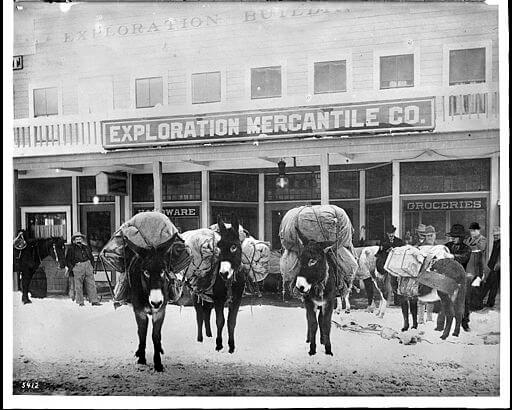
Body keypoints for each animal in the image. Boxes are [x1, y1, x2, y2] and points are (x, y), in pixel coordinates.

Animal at [128, 234, 188, 372]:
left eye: (162, 271)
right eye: (146, 272)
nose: (156, 303)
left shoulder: (160, 312)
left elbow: (155, 336)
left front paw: (158, 364)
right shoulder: (139, 312)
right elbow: (142, 334)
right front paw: (141, 359)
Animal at [194, 216, 246, 354]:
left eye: (234, 247)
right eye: (219, 246)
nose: (223, 273)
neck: (229, 281)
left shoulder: (237, 299)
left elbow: (231, 322)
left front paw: (231, 346)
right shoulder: (219, 299)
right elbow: (220, 321)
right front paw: (218, 345)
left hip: (208, 299)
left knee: (206, 313)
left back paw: (209, 334)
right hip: (196, 296)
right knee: (199, 317)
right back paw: (200, 339)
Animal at [294, 227, 338, 356]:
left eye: (313, 261)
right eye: (300, 259)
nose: (300, 286)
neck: (318, 285)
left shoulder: (329, 303)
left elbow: (326, 324)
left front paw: (328, 349)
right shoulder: (310, 303)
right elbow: (313, 323)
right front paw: (312, 349)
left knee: (321, 320)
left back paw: (323, 340)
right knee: (310, 320)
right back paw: (309, 339)